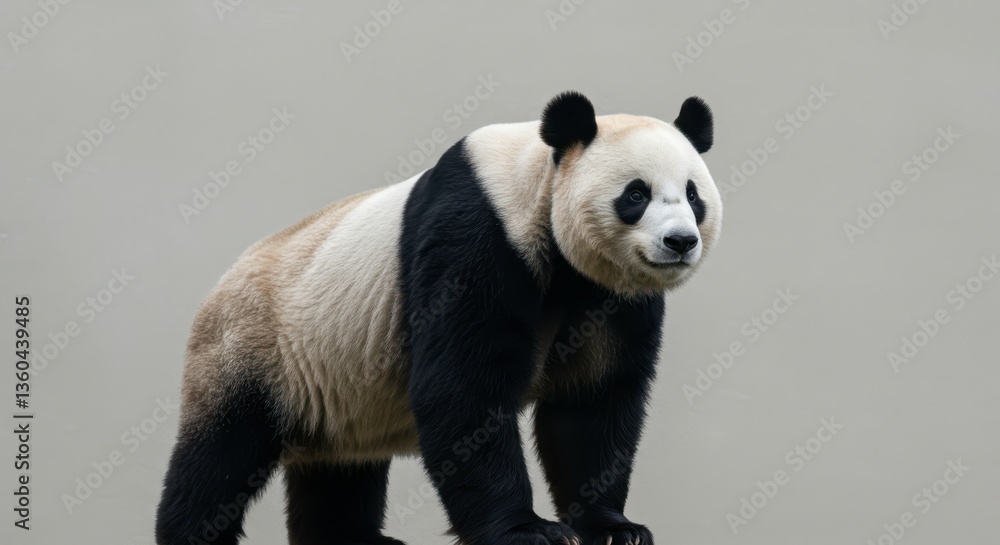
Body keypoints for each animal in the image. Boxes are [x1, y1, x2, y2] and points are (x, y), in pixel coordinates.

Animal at [155, 91, 722, 545]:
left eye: (693, 194)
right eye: (636, 194)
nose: (680, 242)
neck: (537, 181)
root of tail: (222, 282)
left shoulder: (607, 295)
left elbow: (591, 400)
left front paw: (613, 528)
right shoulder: (477, 235)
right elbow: (463, 387)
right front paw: (527, 531)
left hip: (336, 382)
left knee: (339, 468)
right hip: (254, 346)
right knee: (221, 456)